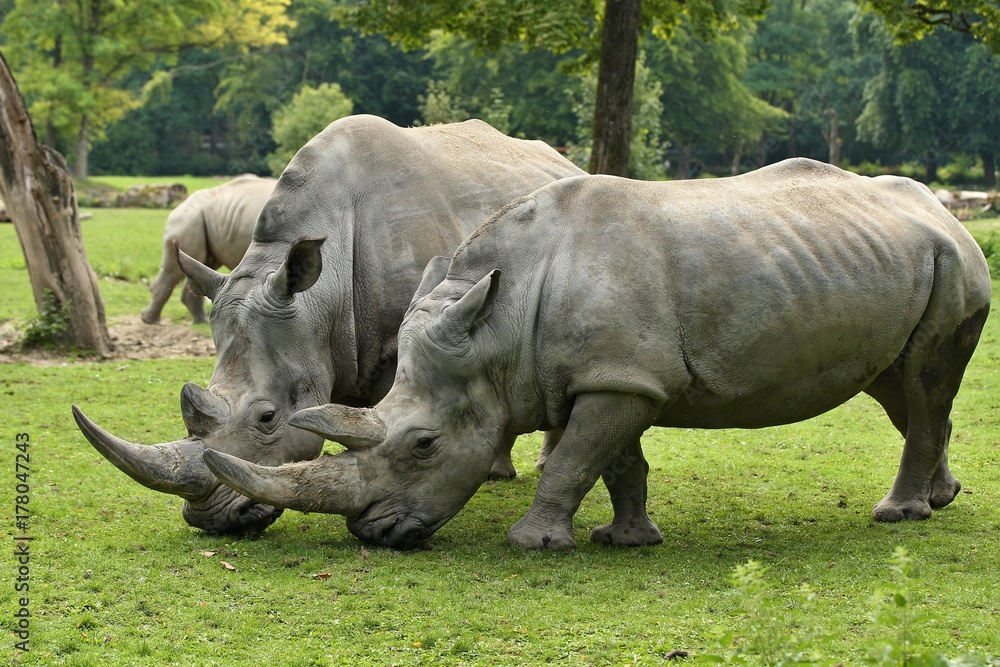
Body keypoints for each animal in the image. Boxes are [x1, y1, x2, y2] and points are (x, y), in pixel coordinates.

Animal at [141, 174, 277, 325]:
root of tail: (181, 204)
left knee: (205, 265)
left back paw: (201, 322)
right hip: (190, 218)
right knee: (175, 268)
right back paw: (151, 321)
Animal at [201, 159, 992, 551]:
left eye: (423, 445)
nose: (372, 533)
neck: (497, 325)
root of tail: (943, 209)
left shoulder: (620, 380)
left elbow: (577, 459)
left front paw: (533, 543)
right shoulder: (613, 374)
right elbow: (613, 461)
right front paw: (627, 540)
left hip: (954, 261)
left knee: (924, 381)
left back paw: (898, 517)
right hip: (905, 257)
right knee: (902, 386)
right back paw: (940, 498)